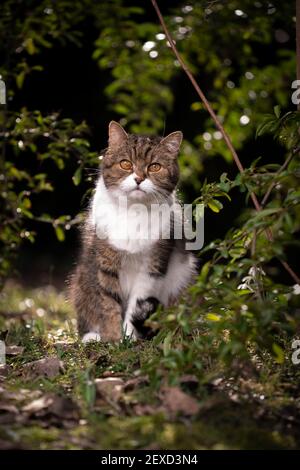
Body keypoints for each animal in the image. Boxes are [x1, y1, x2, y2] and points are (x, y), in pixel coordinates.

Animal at [70, 121, 197, 342]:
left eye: (154, 167)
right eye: (126, 164)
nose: (138, 178)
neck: (133, 210)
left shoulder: (153, 266)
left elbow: (137, 303)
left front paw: (129, 337)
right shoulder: (105, 264)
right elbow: (108, 303)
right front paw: (113, 339)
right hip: (81, 282)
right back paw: (91, 337)